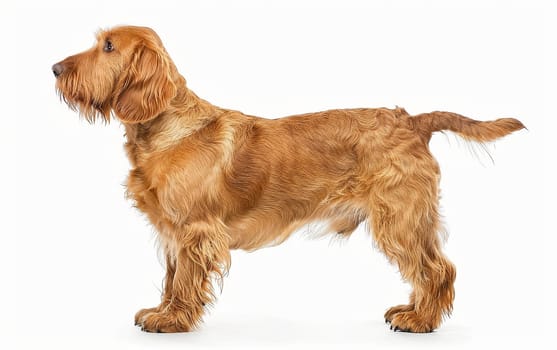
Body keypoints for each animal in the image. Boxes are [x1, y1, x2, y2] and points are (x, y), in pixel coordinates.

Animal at [51, 25, 520, 334]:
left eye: (108, 46)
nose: (55, 68)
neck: (165, 127)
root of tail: (413, 120)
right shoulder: (171, 231)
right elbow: (170, 278)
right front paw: (162, 310)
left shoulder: (194, 230)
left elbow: (184, 280)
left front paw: (172, 319)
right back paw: (411, 311)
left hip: (399, 219)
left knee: (438, 269)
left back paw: (420, 320)